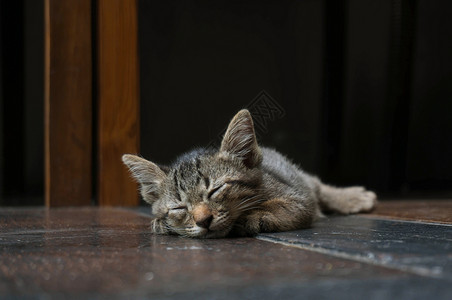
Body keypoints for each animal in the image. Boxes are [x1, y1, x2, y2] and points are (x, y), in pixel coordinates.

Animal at [122, 109, 376, 238]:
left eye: (216, 190)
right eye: (179, 207)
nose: (203, 220)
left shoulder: (299, 197)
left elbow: (284, 206)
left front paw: (254, 215)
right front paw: (161, 223)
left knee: (318, 186)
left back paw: (354, 198)